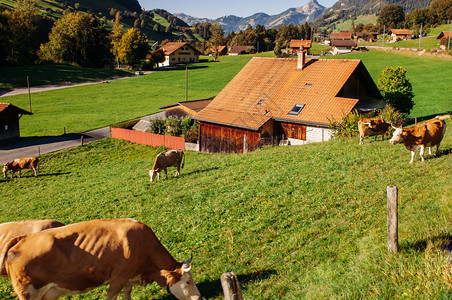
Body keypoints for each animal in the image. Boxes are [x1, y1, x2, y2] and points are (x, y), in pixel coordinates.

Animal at [0, 218, 201, 300]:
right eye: (188, 281)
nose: (199, 297)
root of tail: (22, 239)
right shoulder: (118, 279)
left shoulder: (129, 279)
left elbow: (127, 295)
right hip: (28, 293)